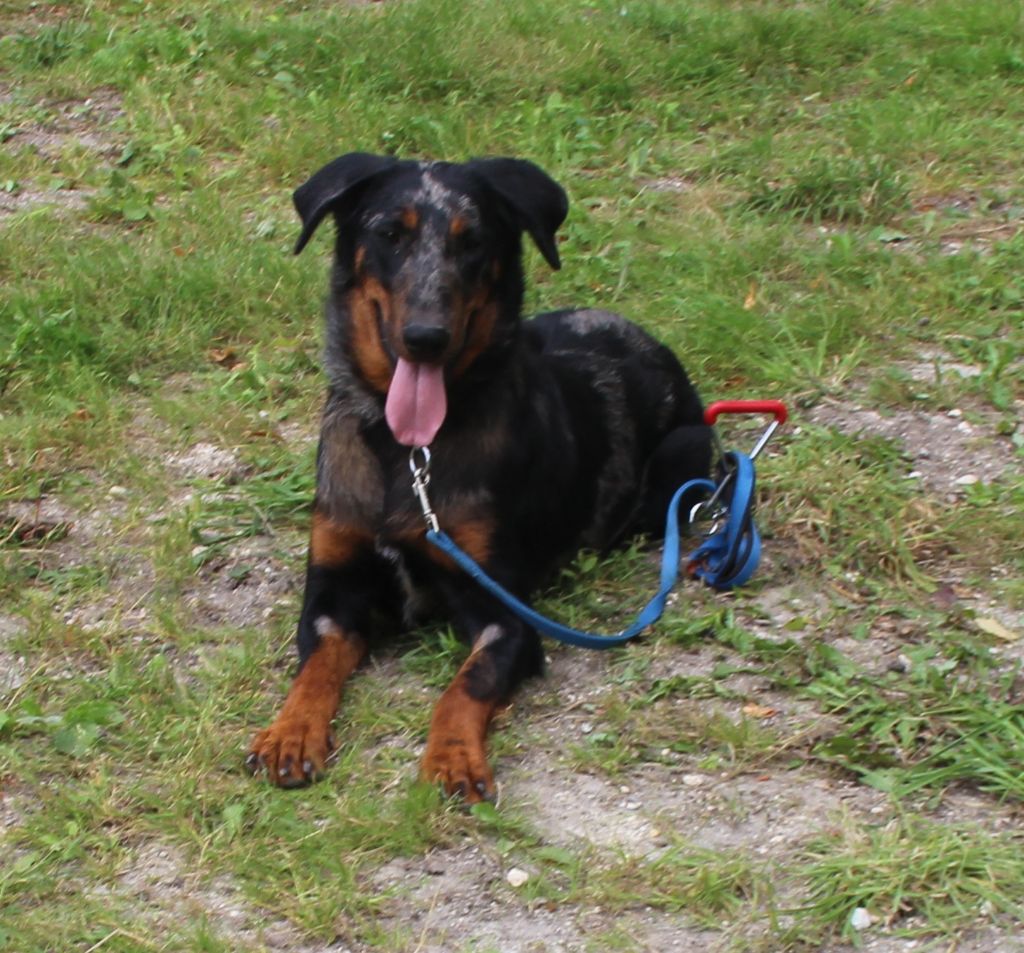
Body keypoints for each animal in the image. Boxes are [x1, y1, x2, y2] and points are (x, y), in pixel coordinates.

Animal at [247, 154, 712, 801]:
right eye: (389, 234)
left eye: (473, 242)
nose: (426, 338)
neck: (408, 452)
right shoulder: (333, 591)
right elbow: (313, 671)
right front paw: (290, 733)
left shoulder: (505, 613)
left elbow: (465, 685)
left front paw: (453, 756)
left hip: (684, 454)